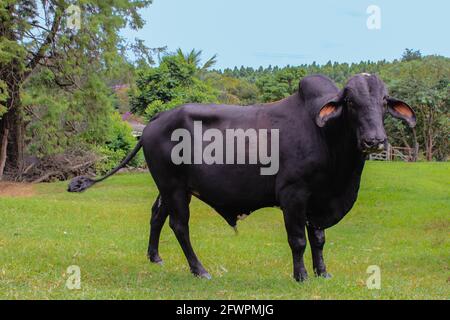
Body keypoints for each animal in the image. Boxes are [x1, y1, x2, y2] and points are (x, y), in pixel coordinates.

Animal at [68, 74, 416, 282]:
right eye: (351, 102)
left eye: (384, 102)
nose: (374, 140)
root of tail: (156, 119)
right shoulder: (293, 195)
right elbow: (298, 240)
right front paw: (301, 276)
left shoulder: (318, 199)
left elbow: (318, 239)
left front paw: (323, 273)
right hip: (173, 186)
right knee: (179, 226)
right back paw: (200, 270)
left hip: (172, 187)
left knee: (157, 215)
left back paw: (155, 257)